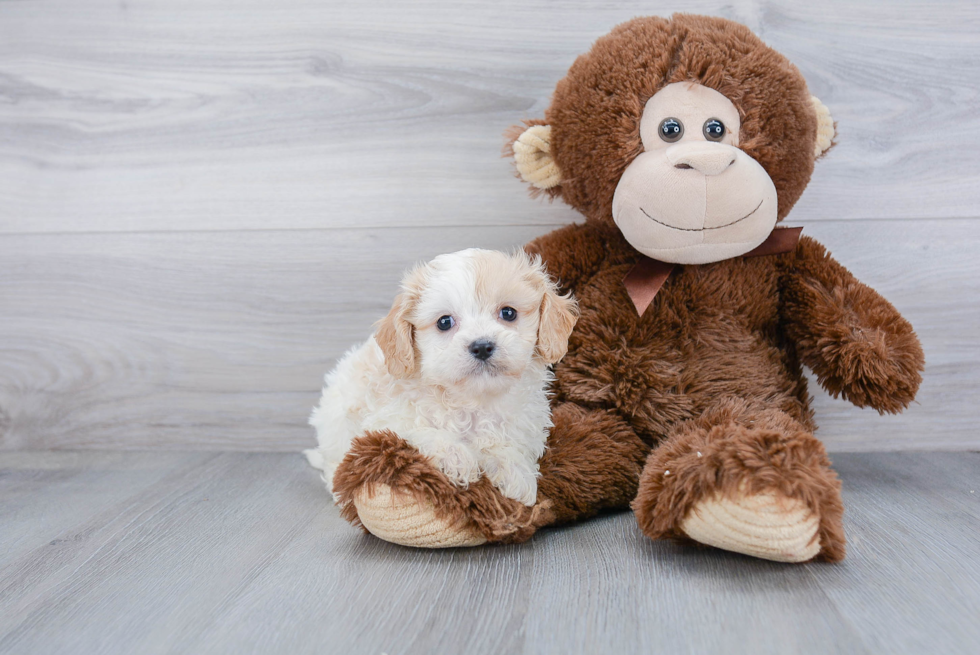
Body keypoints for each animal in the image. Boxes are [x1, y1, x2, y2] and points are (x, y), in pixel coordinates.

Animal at [306, 246, 580, 508]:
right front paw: (457, 457)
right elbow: (423, 431)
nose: (482, 346)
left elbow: (508, 444)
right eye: (445, 322)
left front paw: (517, 472)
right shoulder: (385, 420)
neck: (473, 399)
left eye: (509, 313)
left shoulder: (523, 425)